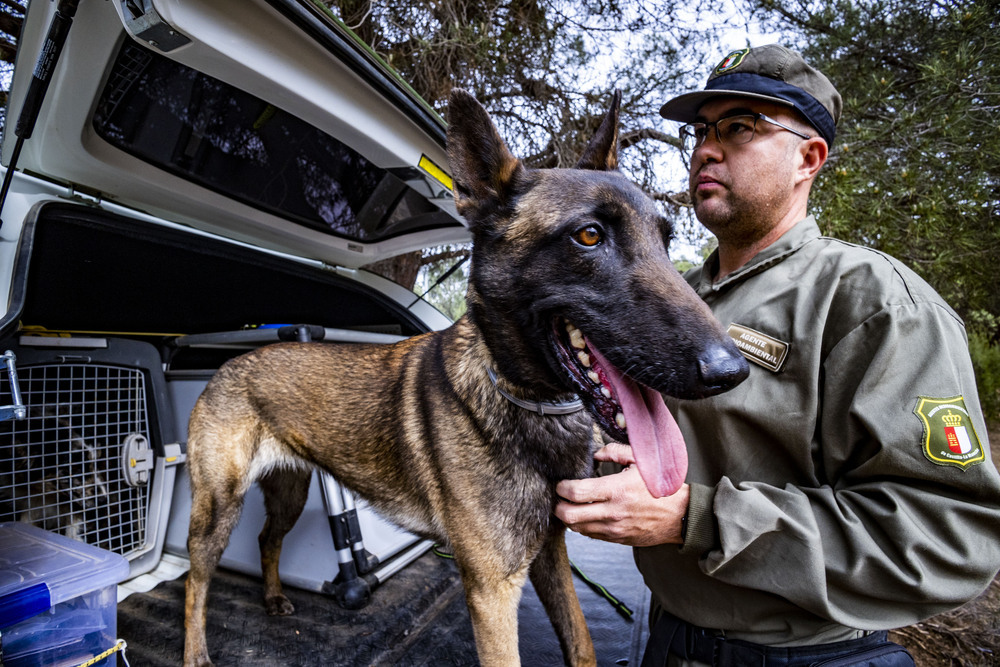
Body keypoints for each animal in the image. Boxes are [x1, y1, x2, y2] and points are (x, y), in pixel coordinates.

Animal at [184, 90, 748, 667]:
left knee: (267, 540)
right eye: (589, 236)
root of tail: (237, 359)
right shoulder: (492, 591)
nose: (732, 371)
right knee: (195, 577)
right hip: (218, 507)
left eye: (666, 240)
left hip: (290, 493)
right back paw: (196, 651)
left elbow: (581, 643)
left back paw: (274, 597)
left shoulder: (548, 553)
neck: (527, 401)